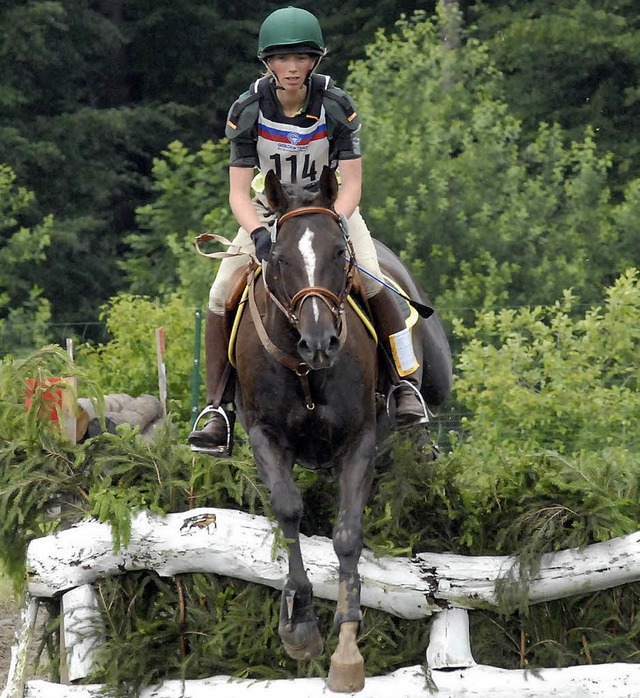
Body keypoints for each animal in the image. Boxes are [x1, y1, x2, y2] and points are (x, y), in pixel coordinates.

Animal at [232, 169, 452, 692]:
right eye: (280, 258)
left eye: (337, 252)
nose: (321, 342)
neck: (305, 372)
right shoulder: (265, 437)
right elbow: (288, 510)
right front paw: (299, 624)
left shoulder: (359, 441)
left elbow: (348, 534)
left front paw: (347, 652)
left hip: (433, 382)